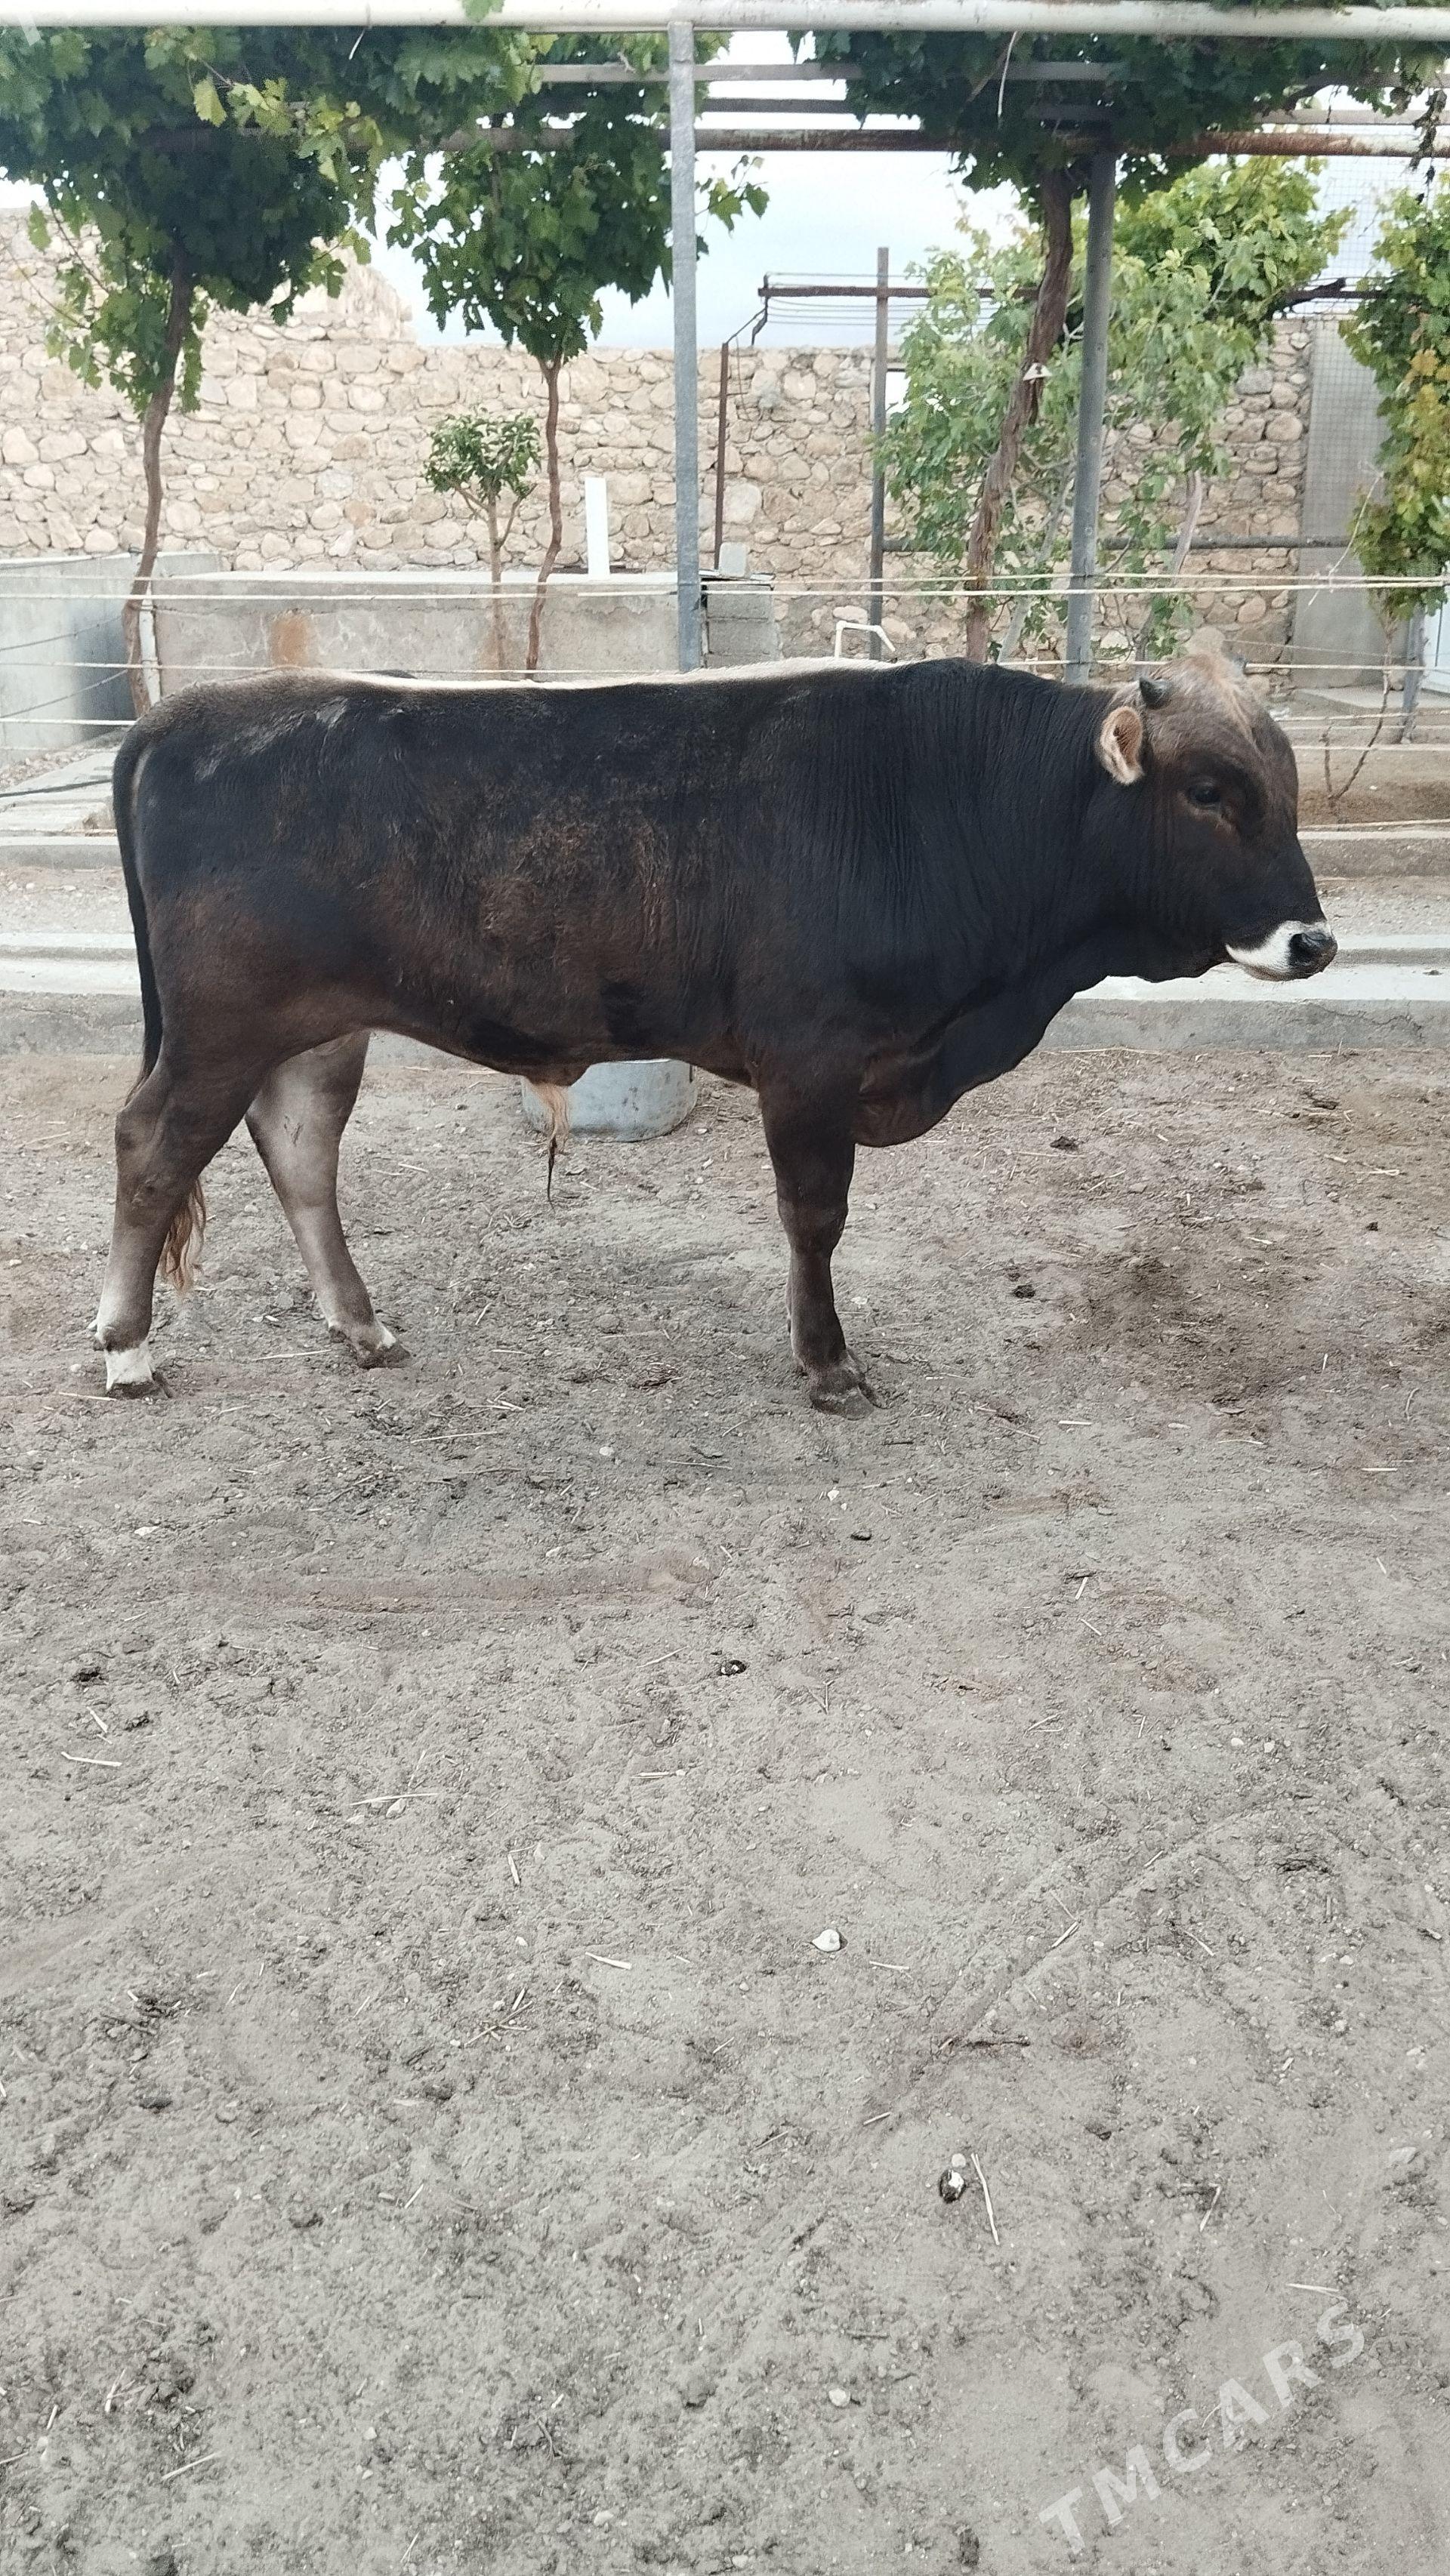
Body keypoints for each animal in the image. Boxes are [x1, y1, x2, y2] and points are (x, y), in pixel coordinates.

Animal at [94, 648, 1335, 1410]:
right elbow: (815, 1218)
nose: (1313, 942)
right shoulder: (811, 1061)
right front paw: (828, 1364)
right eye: (1210, 792)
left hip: (315, 1028)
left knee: (301, 1152)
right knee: (153, 1148)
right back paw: (127, 1349)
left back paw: (359, 1326)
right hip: (219, 1030)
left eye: (1284, 786)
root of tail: (183, 713)